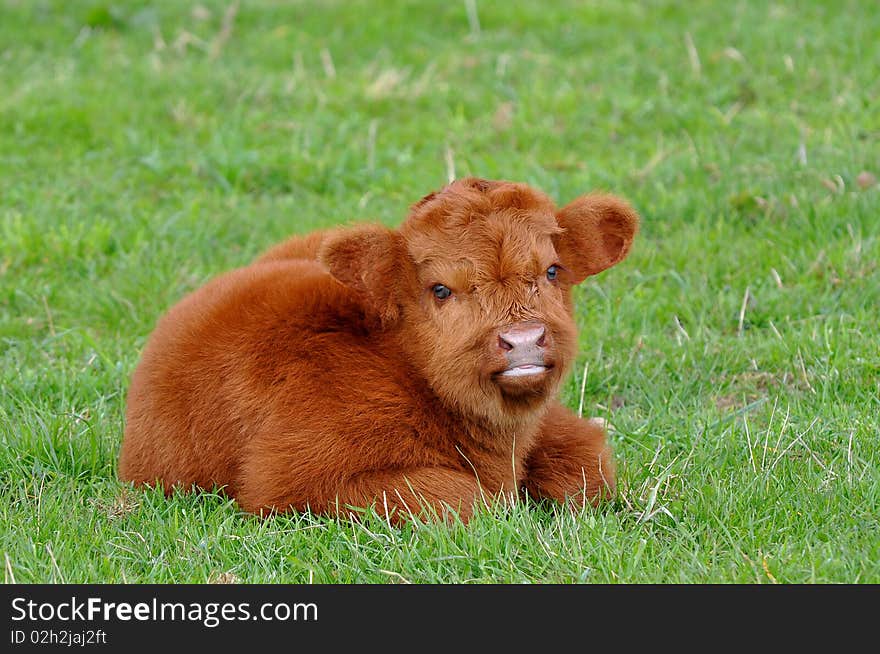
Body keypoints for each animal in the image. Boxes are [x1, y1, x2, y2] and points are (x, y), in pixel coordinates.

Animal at [117, 177, 640, 524]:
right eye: (440, 289)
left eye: (552, 271)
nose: (524, 339)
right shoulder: (293, 480)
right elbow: (463, 498)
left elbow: (588, 465)